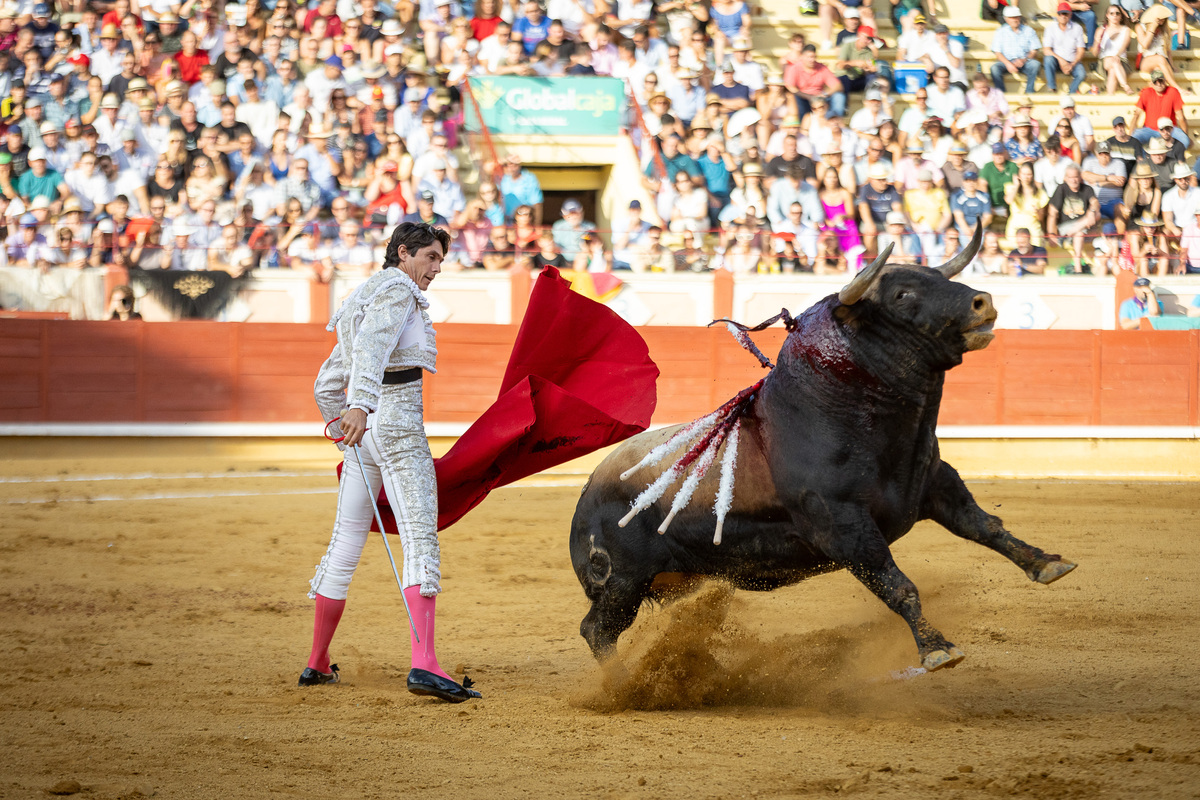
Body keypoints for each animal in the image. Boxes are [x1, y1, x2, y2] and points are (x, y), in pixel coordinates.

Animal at [568, 226, 1080, 676]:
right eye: (902, 295)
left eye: (940, 278)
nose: (983, 302)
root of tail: (586, 494)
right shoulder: (845, 527)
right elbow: (897, 584)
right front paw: (937, 650)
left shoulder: (936, 481)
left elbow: (985, 526)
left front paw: (1047, 564)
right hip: (622, 581)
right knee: (597, 630)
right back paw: (620, 684)